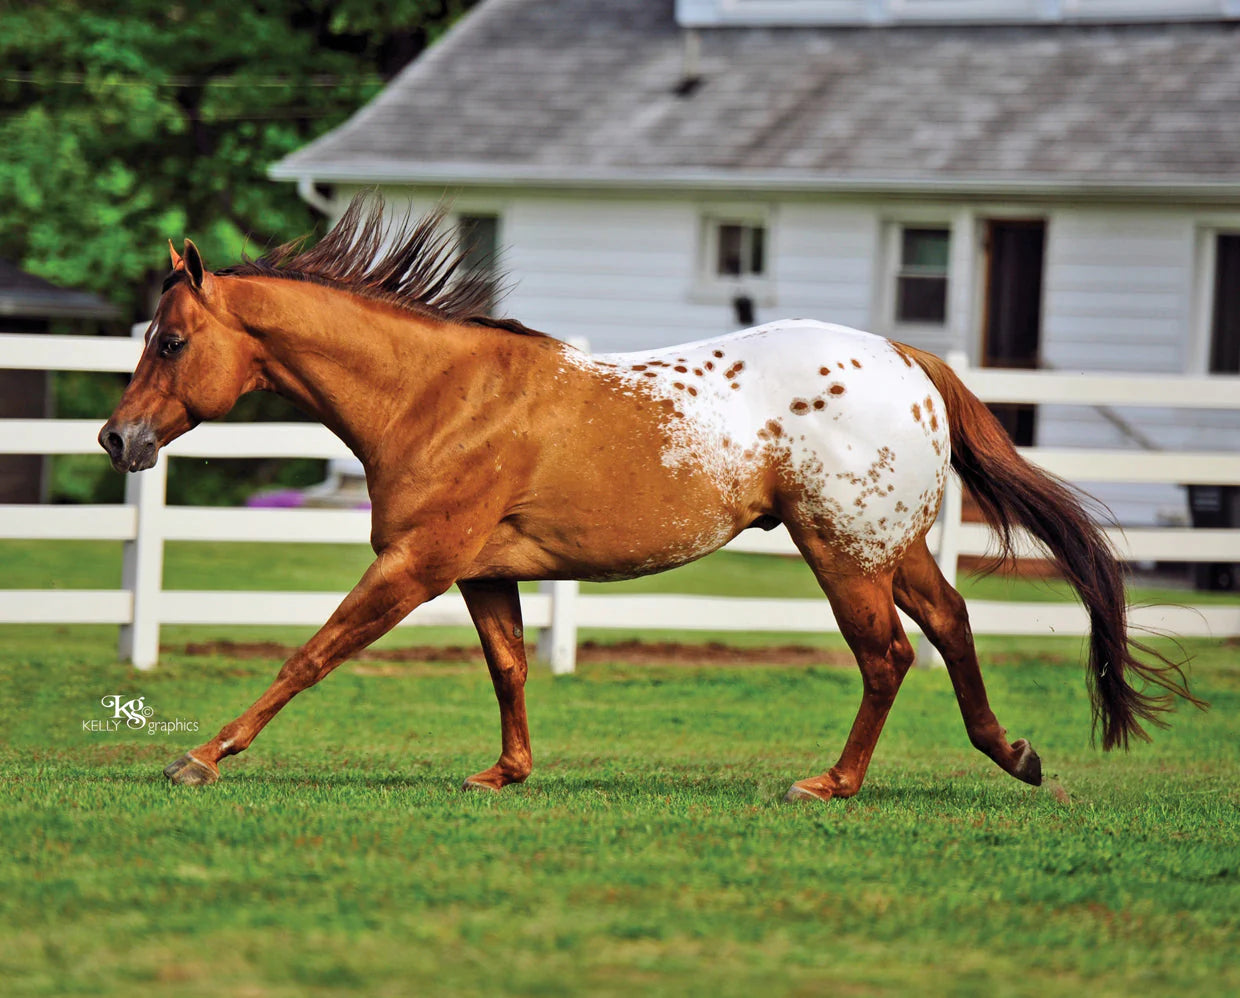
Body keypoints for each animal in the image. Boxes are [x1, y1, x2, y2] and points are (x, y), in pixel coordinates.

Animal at [99, 197, 1200, 803]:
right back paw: (1010, 752)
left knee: (887, 655)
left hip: (841, 552)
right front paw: (505, 772)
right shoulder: (485, 571)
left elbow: (312, 653)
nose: (116, 438)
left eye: (171, 340)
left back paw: (833, 783)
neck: (437, 394)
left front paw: (201, 756)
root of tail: (906, 356)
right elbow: (509, 667)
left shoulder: (415, 564)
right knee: (953, 624)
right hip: (891, 544)